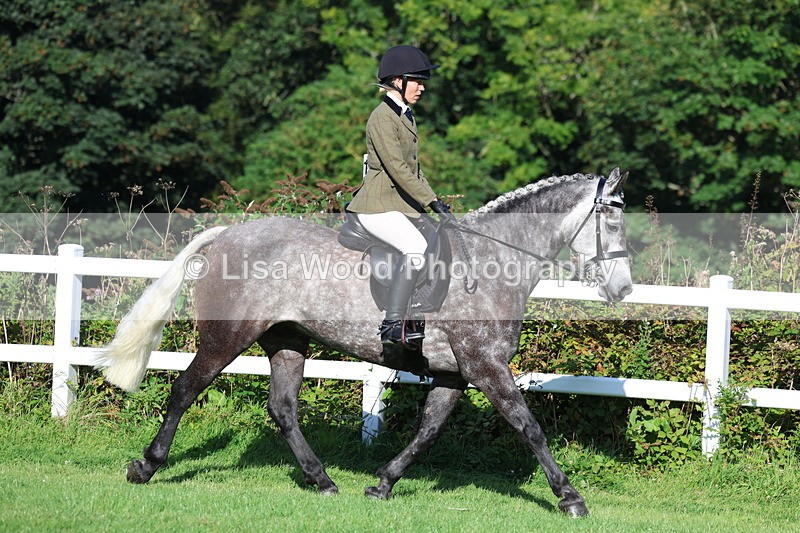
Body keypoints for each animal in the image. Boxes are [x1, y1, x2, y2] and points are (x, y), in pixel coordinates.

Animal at [95, 167, 632, 517]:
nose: (623, 289)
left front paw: (383, 484)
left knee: (283, 408)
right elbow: (529, 427)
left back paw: (323, 480)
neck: (493, 261)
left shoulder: (455, 373)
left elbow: (427, 432)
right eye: (612, 221)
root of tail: (229, 234)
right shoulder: (486, 367)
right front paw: (570, 497)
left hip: (287, 341)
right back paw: (146, 466)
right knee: (185, 389)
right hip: (228, 336)